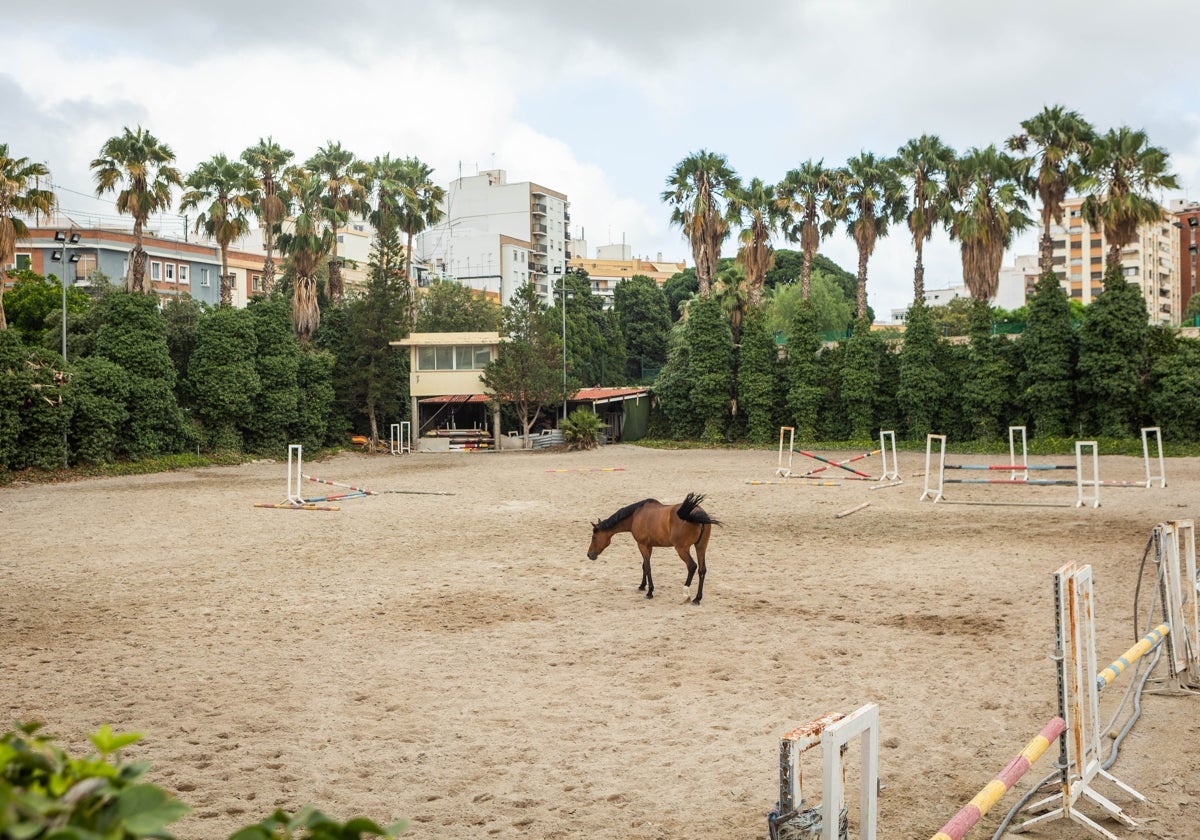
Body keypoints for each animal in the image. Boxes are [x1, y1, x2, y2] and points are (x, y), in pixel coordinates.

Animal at [585, 492, 715, 604]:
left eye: (594, 537)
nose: (589, 554)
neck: (636, 515)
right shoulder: (649, 546)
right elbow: (644, 565)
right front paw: (642, 586)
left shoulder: (642, 545)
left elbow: (647, 567)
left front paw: (649, 592)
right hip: (700, 547)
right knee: (702, 570)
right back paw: (697, 598)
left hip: (682, 549)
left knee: (692, 566)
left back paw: (686, 595)